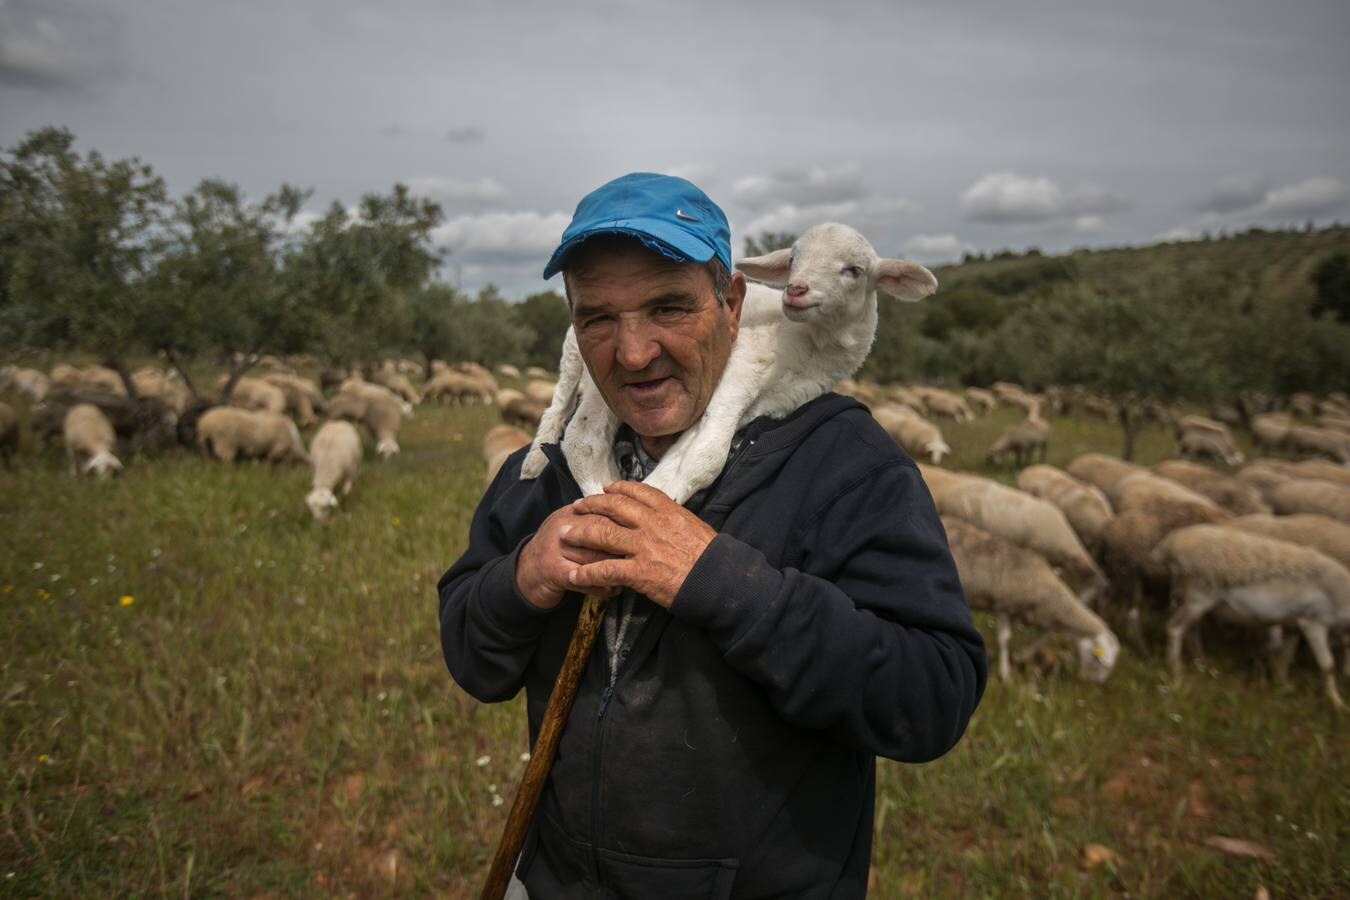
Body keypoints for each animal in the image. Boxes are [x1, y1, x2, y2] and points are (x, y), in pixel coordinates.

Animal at [518, 223, 939, 507]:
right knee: (573, 426)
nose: (795, 290)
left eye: (853, 270)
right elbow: (708, 455)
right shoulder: (743, 365)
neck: (806, 345)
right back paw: (561, 475)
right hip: (587, 364)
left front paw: (655, 496)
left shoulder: (780, 397)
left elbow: (692, 448)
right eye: (793, 260)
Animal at [939, 512, 1117, 682]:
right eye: (1100, 661)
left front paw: (1021, 655)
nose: (1096, 682)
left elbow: (1045, 635)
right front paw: (1005, 673)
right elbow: (1004, 639)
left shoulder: (1040, 614)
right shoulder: (1004, 605)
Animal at [1150, 523, 1350, 707]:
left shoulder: (1293, 625)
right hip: (1199, 596)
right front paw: (1337, 702)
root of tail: (1170, 544)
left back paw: (1201, 663)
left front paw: (1282, 687)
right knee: (1175, 629)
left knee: (1191, 631)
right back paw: (1176, 670)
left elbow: (1284, 658)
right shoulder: (1313, 622)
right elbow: (1327, 665)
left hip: (1190, 597)